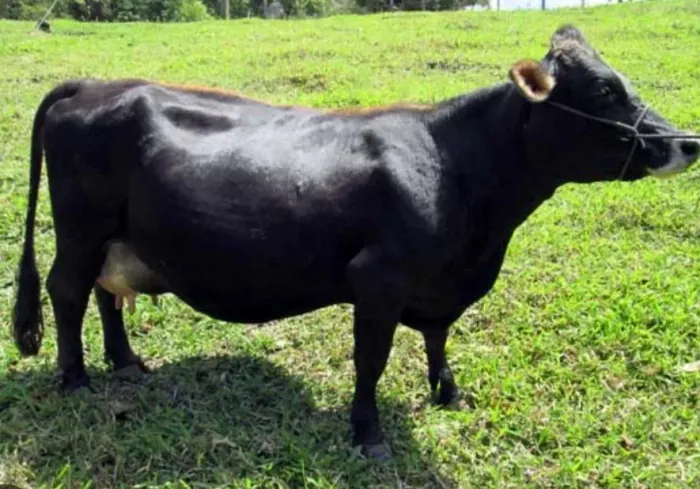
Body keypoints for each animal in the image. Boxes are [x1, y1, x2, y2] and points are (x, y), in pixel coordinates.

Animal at [11, 25, 699, 460]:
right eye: (606, 91)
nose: (687, 142)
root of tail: (92, 83)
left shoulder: (439, 284)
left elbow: (438, 338)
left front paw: (448, 393)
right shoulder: (378, 278)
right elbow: (371, 360)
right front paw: (368, 434)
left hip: (119, 237)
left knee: (107, 292)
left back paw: (127, 361)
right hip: (80, 228)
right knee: (67, 290)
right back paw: (75, 378)